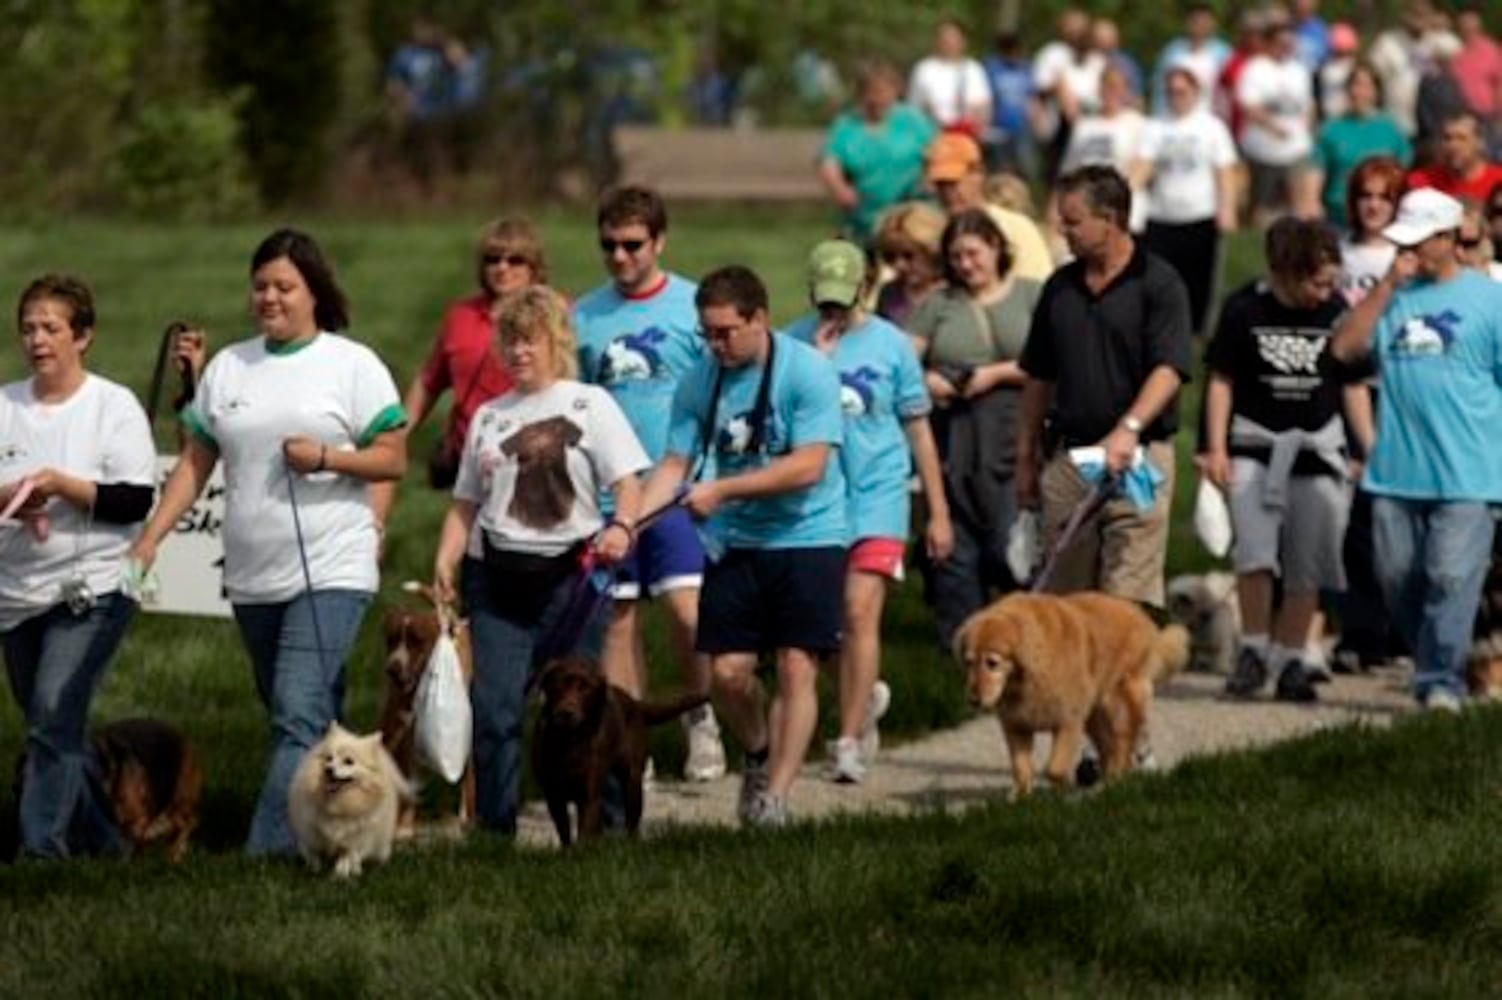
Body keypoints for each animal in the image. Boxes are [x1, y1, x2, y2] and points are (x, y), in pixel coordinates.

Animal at [286, 720, 414, 876]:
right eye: (329, 758)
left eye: (349, 761)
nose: (329, 769)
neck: (340, 805)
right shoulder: (310, 830)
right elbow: (311, 852)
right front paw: (314, 868)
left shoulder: (356, 839)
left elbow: (348, 855)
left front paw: (341, 873)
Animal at [955, 591, 1189, 792]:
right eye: (968, 662)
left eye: (992, 663)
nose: (973, 700)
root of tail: (1140, 615)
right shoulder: (1016, 726)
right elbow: (1021, 769)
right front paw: (1020, 798)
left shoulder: (1068, 720)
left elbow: (1054, 768)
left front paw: (1063, 786)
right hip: (1095, 715)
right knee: (1108, 746)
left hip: (1116, 702)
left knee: (1123, 742)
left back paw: (1115, 780)